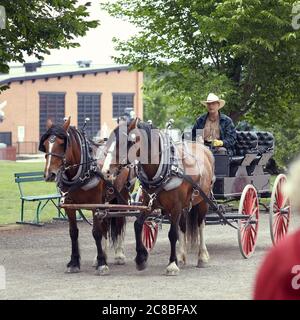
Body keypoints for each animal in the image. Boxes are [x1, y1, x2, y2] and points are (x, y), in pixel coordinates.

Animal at [39, 117, 134, 276]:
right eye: (45, 144)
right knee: (105, 225)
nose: (49, 174)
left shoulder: (95, 204)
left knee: (120, 221)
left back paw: (119, 254)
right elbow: (73, 233)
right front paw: (74, 262)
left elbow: (96, 232)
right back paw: (101, 255)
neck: (83, 170)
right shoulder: (70, 206)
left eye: (62, 143)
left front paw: (102, 264)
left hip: (123, 197)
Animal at [102, 117, 214, 276]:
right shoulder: (149, 203)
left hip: (203, 201)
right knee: (183, 226)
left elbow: (172, 234)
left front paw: (172, 264)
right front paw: (141, 258)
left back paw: (202, 257)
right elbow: (138, 225)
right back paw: (181, 256)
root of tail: (203, 148)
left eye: (126, 143)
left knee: (200, 225)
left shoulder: (175, 207)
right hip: (185, 205)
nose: (105, 171)